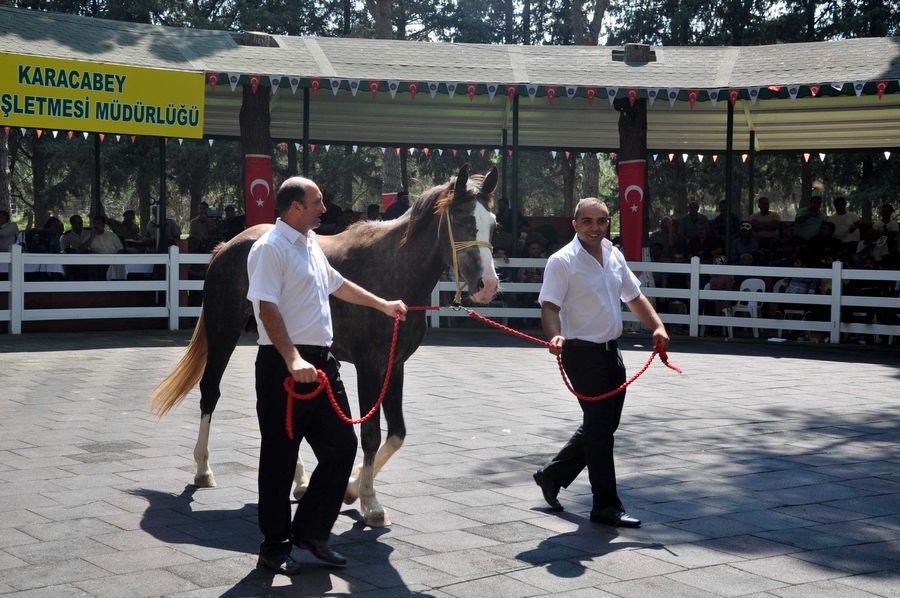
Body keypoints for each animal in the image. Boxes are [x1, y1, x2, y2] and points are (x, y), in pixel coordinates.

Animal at [149, 164, 500, 524]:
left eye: (493, 224)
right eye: (461, 219)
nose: (487, 285)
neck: (392, 269)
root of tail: (225, 247)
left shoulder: (395, 365)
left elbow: (397, 434)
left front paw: (351, 488)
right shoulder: (369, 367)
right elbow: (371, 434)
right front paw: (371, 502)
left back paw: (300, 480)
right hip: (224, 332)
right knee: (210, 391)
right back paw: (203, 470)